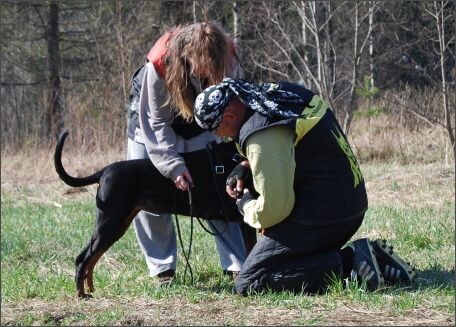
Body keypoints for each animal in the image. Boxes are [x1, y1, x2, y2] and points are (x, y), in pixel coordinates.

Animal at [54, 131, 255, 300]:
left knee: (92, 257)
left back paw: (89, 288)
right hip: (109, 222)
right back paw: (80, 294)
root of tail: (104, 171)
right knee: (82, 258)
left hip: (117, 226)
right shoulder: (246, 221)